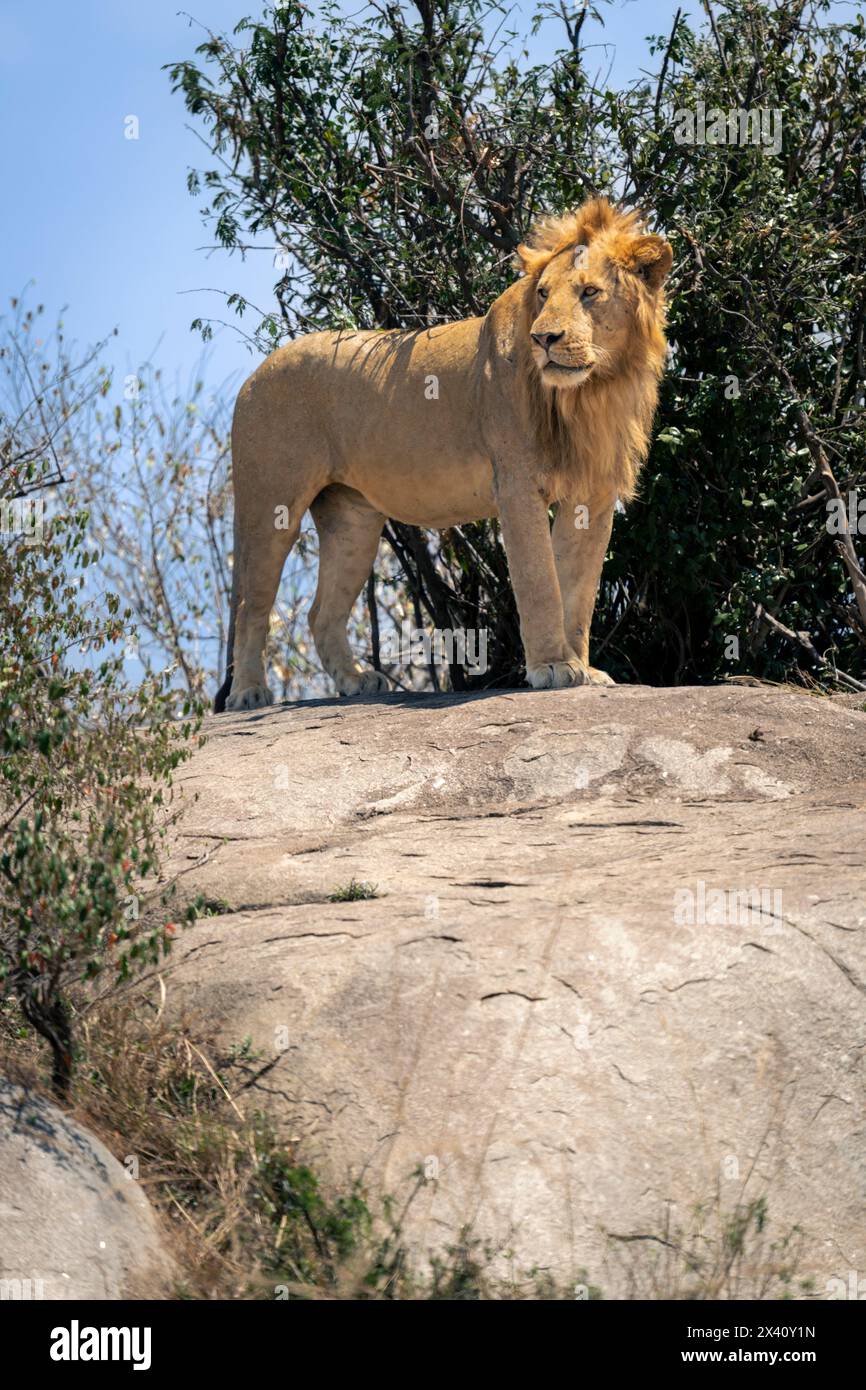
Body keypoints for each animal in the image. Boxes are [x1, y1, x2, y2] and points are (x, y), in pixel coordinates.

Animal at [214, 198, 675, 717]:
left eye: (590, 292)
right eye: (542, 294)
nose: (544, 339)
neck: (592, 392)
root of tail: (257, 371)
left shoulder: (592, 495)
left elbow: (578, 588)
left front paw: (583, 669)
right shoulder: (516, 485)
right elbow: (540, 581)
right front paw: (554, 667)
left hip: (353, 520)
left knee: (320, 612)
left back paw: (357, 681)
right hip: (271, 504)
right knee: (250, 605)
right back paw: (248, 693)